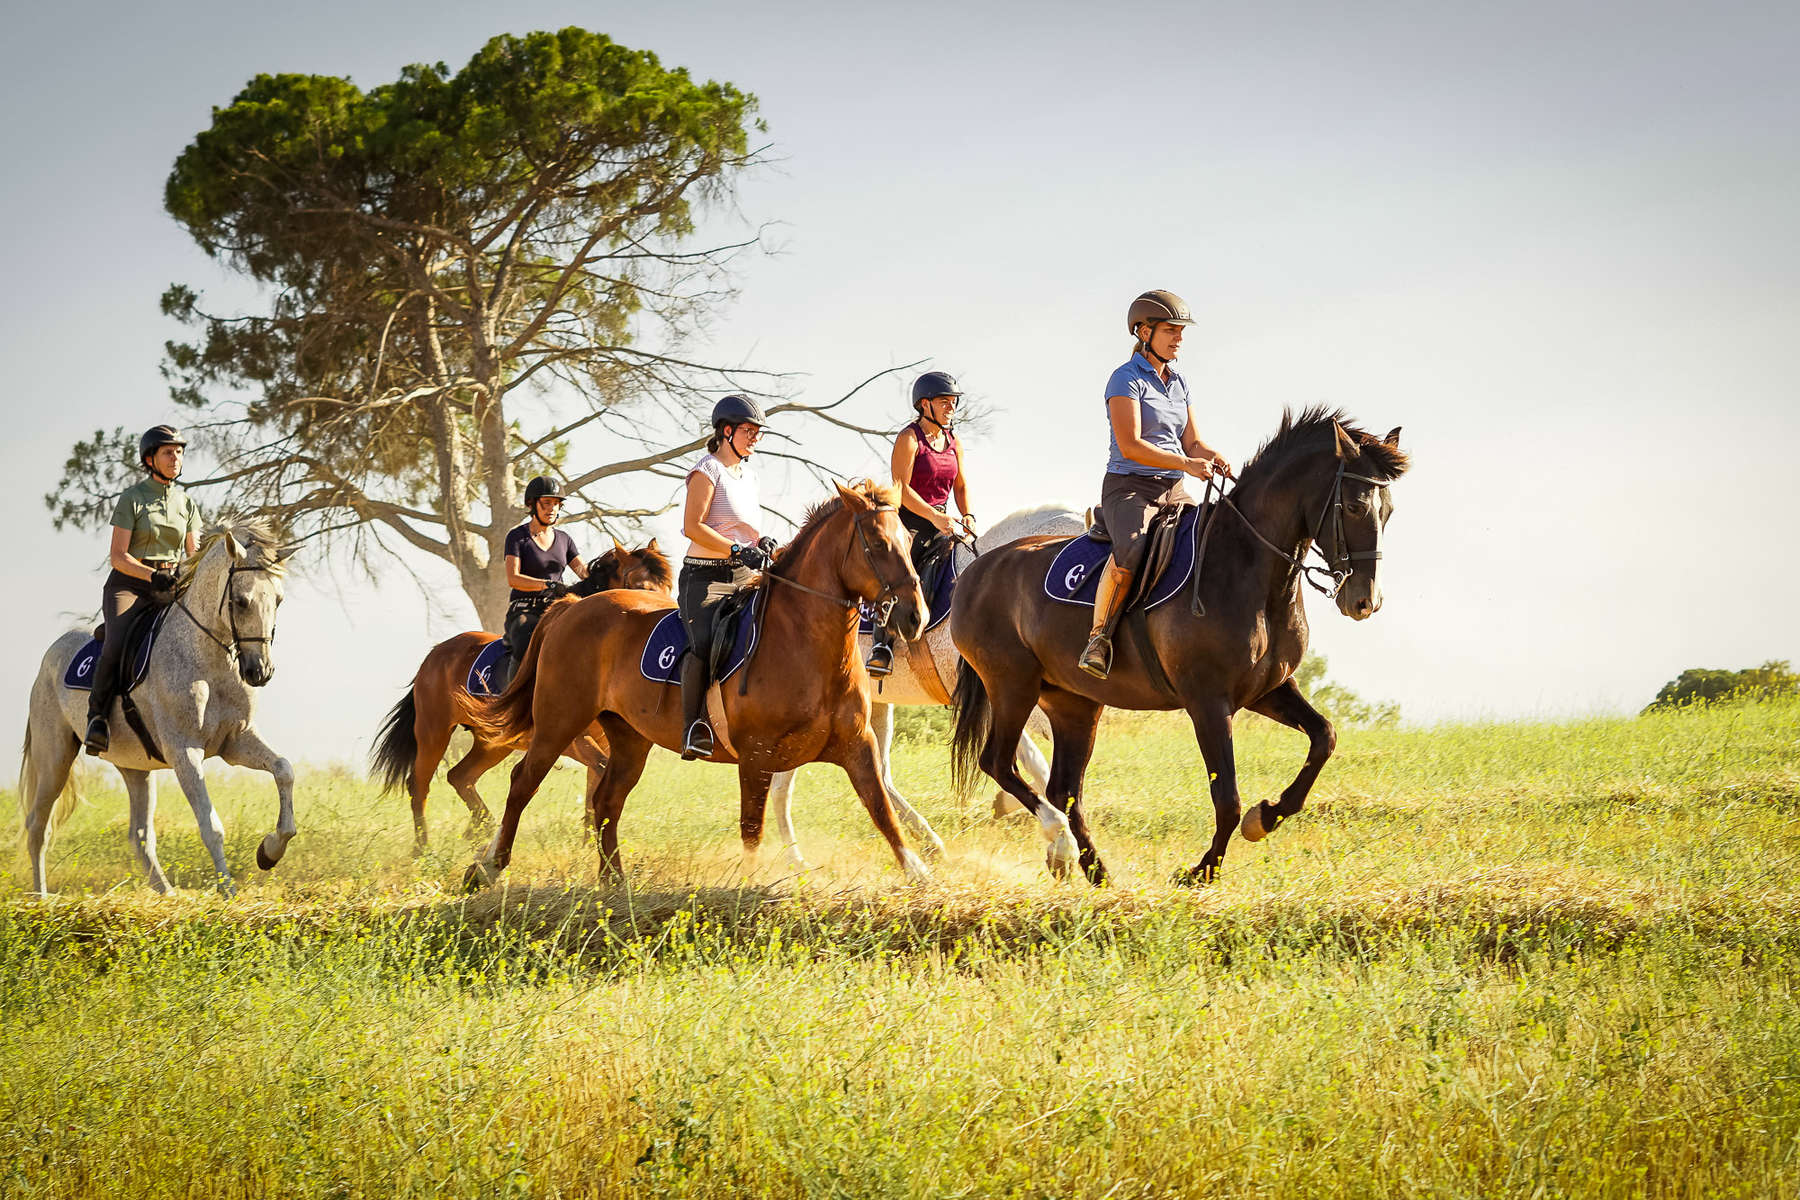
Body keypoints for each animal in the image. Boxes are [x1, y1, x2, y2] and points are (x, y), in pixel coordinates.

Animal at [18, 521, 295, 895]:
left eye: (278, 600)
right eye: (241, 601)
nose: (260, 671)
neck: (208, 659)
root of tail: (52, 652)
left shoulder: (236, 742)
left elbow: (284, 770)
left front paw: (270, 851)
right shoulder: (185, 752)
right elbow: (211, 825)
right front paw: (228, 890)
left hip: (135, 767)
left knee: (139, 836)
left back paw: (167, 892)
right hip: (55, 756)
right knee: (38, 826)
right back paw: (42, 898)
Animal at [367, 539, 676, 849]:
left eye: (668, 586)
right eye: (643, 587)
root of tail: (434, 655)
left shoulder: (605, 740)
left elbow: (594, 786)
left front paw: (589, 843)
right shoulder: (567, 738)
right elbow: (599, 772)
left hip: (493, 743)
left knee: (460, 776)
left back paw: (481, 826)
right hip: (434, 731)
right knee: (419, 784)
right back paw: (425, 847)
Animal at [457, 482, 936, 892]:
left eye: (909, 542)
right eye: (878, 544)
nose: (916, 617)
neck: (805, 643)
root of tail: (570, 608)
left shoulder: (857, 744)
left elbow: (881, 807)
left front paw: (919, 870)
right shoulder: (757, 756)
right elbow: (752, 827)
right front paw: (751, 884)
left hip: (629, 738)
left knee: (608, 800)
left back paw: (615, 882)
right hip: (560, 720)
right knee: (524, 782)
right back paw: (488, 868)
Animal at [759, 503, 1080, 867]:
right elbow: (1035, 759)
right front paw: (1060, 839)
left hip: (876, 704)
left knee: (879, 774)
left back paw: (928, 843)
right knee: (783, 786)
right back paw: (796, 860)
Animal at [950, 408, 1411, 888]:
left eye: (1388, 510)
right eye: (1355, 506)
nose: (1365, 601)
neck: (1248, 569)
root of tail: (975, 570)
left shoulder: (1267, 690)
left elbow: (1324, 736)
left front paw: (1265, 817)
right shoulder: (1208, 702)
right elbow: (1227, 797)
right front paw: (1202, 870)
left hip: (1073, 702)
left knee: (1064, 788)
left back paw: (1098, 873)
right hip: (1012, 686)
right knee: (1000, 764)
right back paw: (1062, 843)